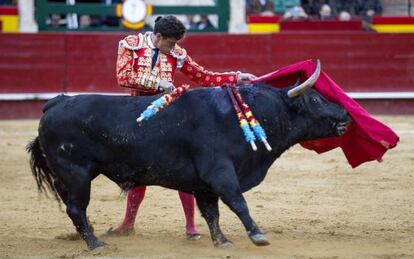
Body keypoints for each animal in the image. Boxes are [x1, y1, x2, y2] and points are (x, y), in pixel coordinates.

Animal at [27, 64, 350, 251]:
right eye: (316, 99)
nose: (345, 115)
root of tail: (56, 102)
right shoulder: (220, 173)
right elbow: (238, 203)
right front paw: (257, 235)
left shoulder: (204, 184)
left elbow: (211, 212)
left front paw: (221, 241)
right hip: (76, 172)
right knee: (76, 208)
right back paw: (95, 244)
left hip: (72, 175)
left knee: (75, 208)